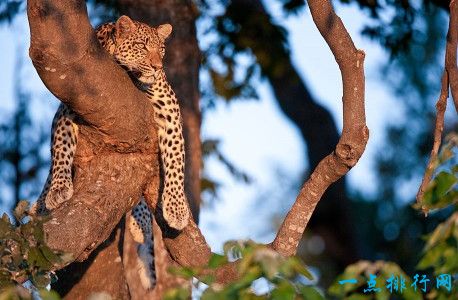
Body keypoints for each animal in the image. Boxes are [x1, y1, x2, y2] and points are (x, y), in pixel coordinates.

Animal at [32, 15, 190, 290]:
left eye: (161, 49)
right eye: (142, 46)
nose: (157, 67)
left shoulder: (170, 110)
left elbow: (176, 161)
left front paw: (177, 209)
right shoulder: (67, 109)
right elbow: (61, 148)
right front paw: (59, 189)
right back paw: (43, 201)